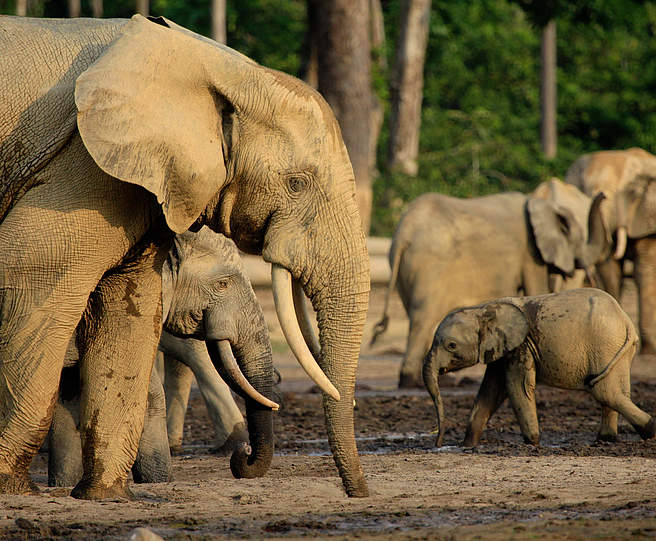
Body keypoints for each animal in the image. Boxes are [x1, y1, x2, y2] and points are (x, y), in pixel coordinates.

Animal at [0, 13, 368, 498]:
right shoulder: (79, 168)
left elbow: (127, 306)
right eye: (297, 183)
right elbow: (30, 280)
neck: (220, 67)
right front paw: (12, 487)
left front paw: (106, 497)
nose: (359, 492)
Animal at [372, 181, 608, 388]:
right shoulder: (530, 254)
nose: (603, 195)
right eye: (579, 238)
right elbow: (537, 290)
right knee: (423, 318)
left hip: (405, 270)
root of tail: (403, 234)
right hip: (429, 266)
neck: (543, 206)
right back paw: (414, 382)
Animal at [422, 288, 652, 446]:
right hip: (615, 349)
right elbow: (490, 391)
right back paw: (605, 440)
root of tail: (625, 319)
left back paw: (648, 430)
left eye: (451, 346)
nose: (437, 443)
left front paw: (532, 443)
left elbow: (517, 387)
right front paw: (467, 446)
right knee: (616, 391)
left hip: (605, 345)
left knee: (604, 391)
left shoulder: (521, 346)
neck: (482, 309)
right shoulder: (502, 349)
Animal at [564, 147, 656, 350]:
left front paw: (648, 350)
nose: (602, 195)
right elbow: (609, 267)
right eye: (582, 191)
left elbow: (643, 269)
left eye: (630, 193)